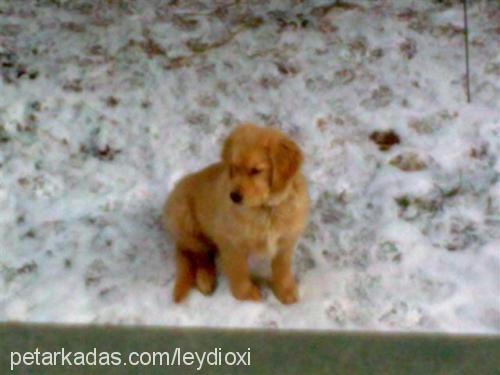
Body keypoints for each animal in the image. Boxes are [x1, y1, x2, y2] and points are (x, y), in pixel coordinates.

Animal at [163, 123, 308, 306]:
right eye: (234, 167)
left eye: (256, 171)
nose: (234, 196)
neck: (266, 209)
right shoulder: (230, 241)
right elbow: (239, 270)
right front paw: (246, 294)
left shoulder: (286, 240)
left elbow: (282, 267)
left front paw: (285, 290)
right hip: (184, 217)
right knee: (196, 253)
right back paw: (205, 279)